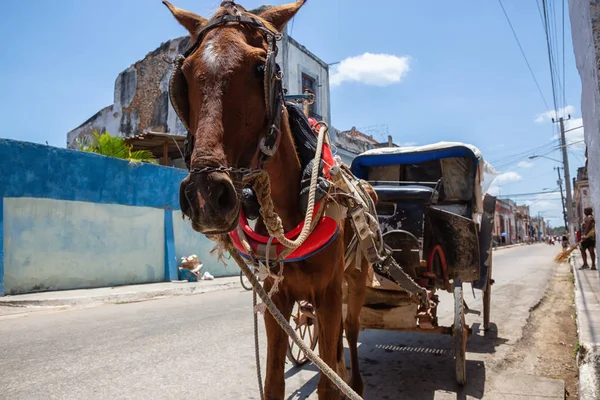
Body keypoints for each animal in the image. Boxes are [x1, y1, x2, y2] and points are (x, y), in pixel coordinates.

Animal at [164, 1, 370, 398]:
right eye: (185, 74)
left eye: (262, 68)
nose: (205, 196)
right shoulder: (277, 297)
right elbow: (273, 380)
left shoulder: (330, 293)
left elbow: (329, 383)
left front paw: (339, 380)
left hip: (356, 279)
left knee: (351, 334)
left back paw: (356, 380)